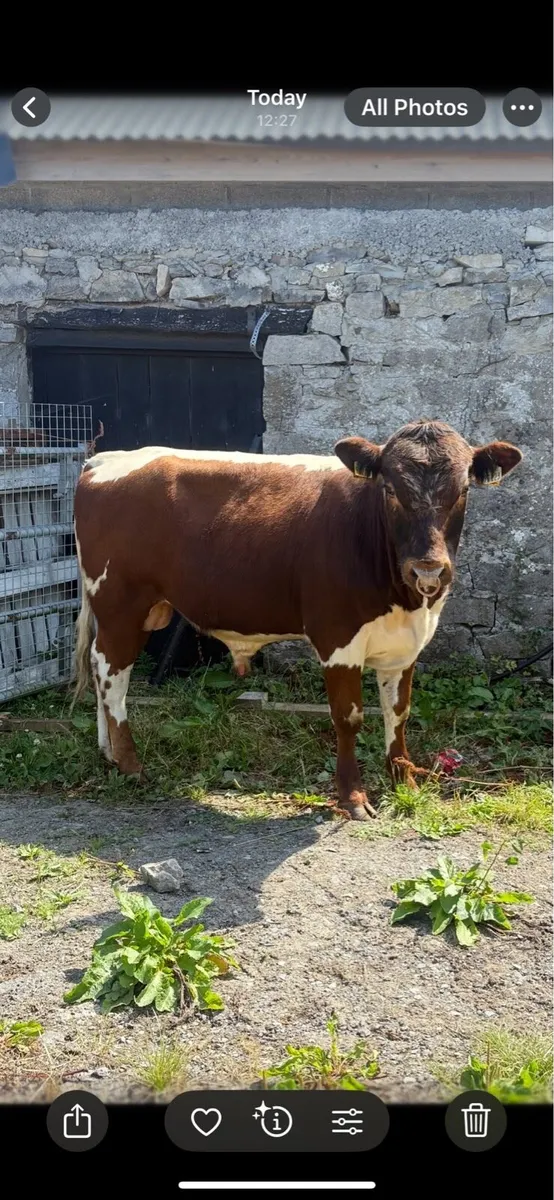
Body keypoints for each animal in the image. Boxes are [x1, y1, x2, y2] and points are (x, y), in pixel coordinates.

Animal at [72, 420, 522, 820]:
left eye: (463, 490)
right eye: (390, 489)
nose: (427, 569)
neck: (407, 603)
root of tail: (107, 459)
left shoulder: (404, 647)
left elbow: (398, 712)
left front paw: (404, 781)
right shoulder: (337, 637)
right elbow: (348, 717)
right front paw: (353, 798)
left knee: (98, 668)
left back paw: (108, 752)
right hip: (120, 604)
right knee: (112, 678)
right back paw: (130, 764)